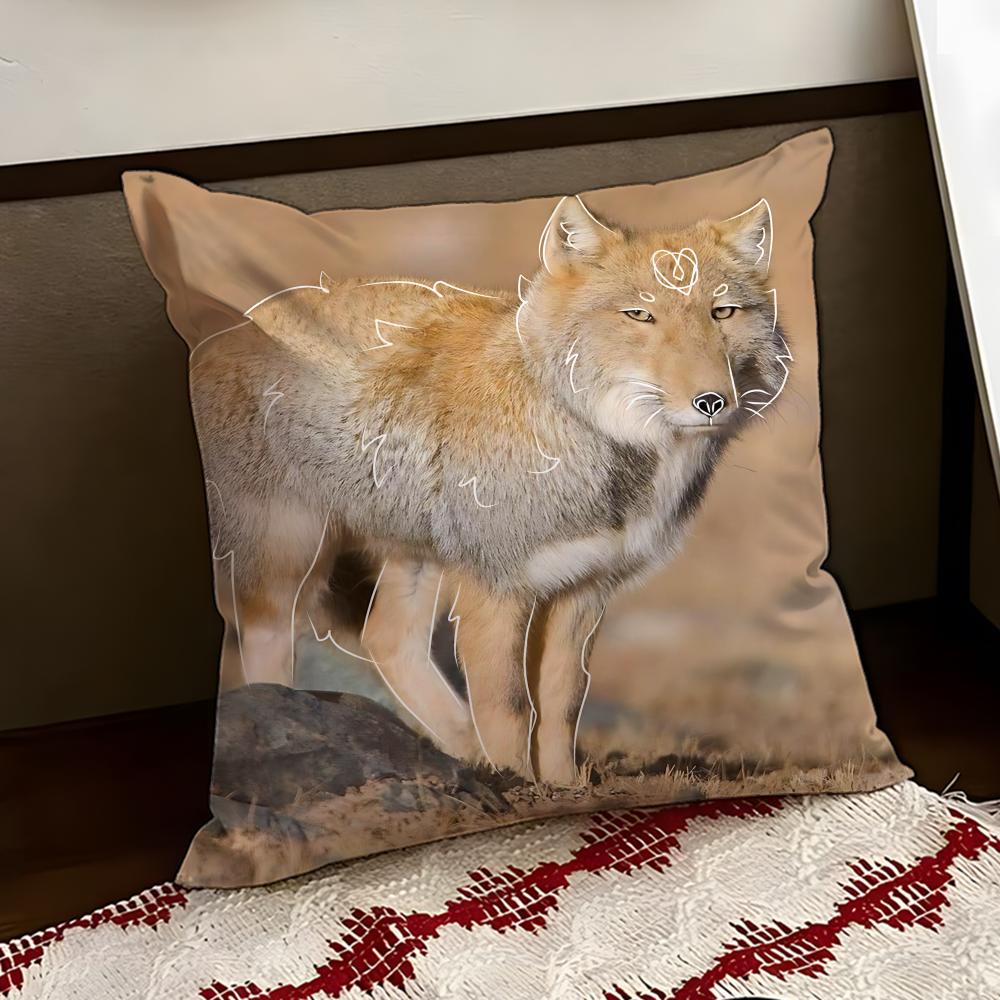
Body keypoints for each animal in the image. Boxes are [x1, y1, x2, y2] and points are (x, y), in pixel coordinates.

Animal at [192, 194, 786, 786]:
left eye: (723, 313)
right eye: (640, 315)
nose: (712, 401)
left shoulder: (584, 588)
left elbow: (562, 702)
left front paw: (562, 787)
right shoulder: (496, 587)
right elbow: (509, 704)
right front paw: (517, 784)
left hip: (417, 560)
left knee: (387, 640)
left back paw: (460, 748)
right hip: (291, 563)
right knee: (268, 653)